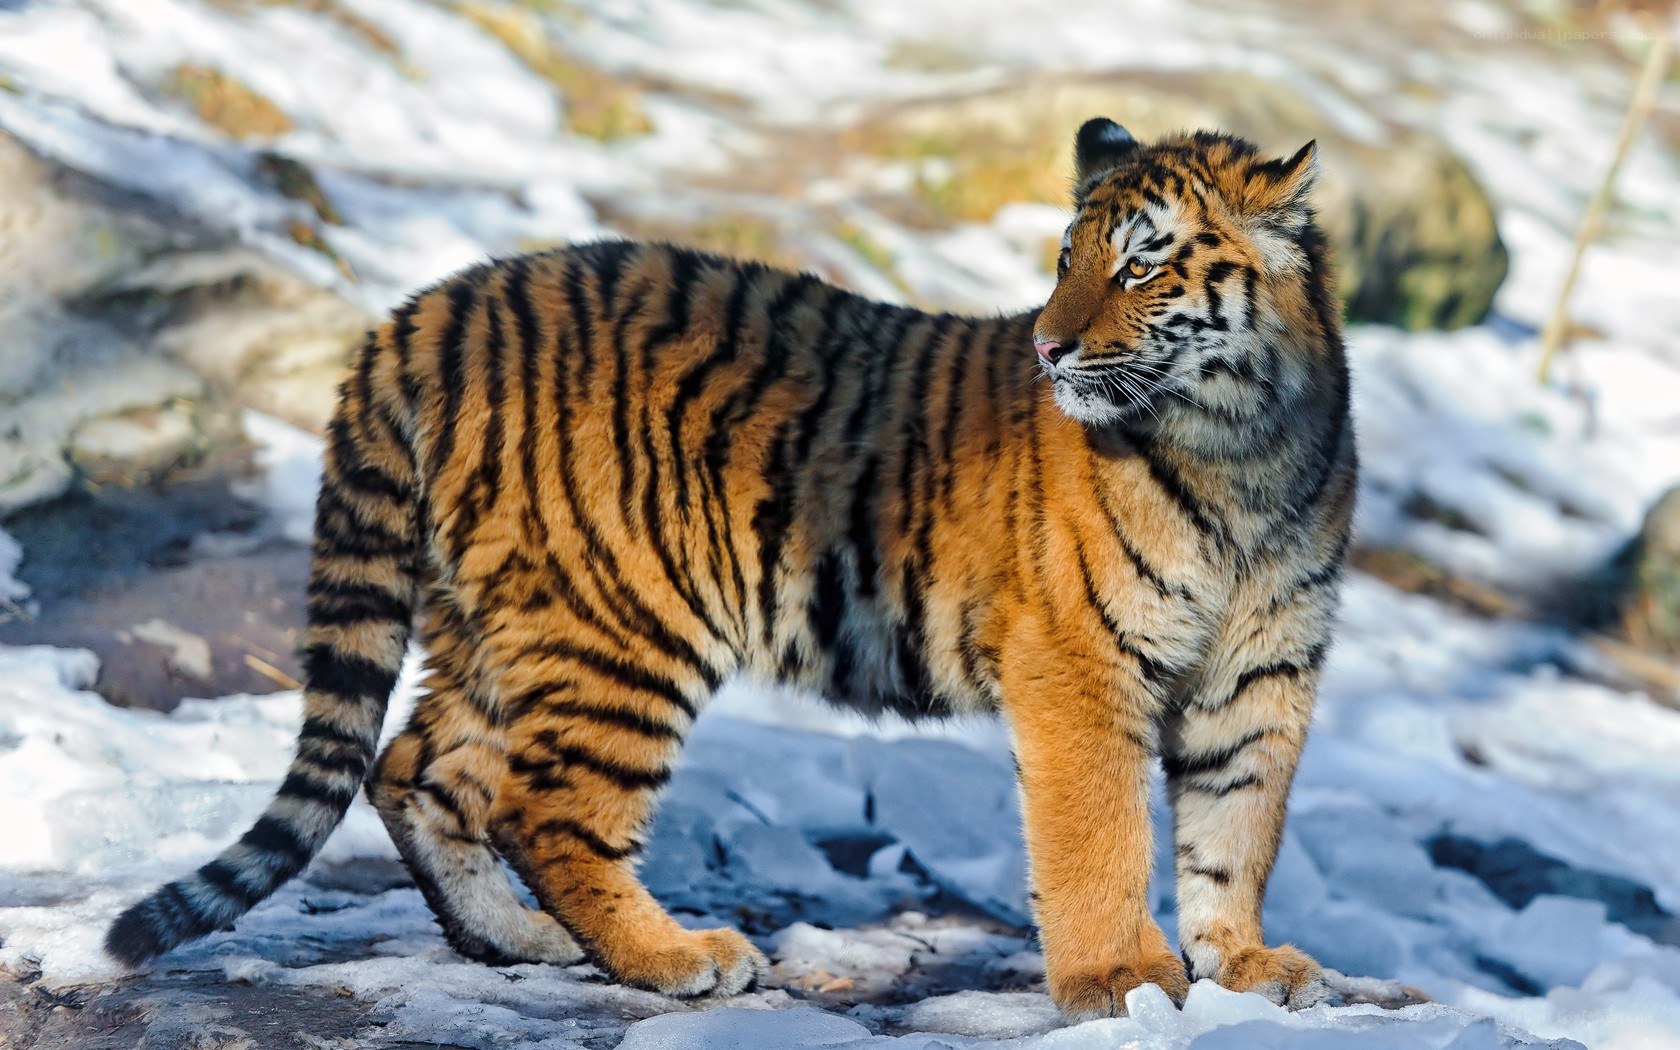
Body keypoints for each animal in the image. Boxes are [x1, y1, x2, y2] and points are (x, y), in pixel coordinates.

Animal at [106, 119, 1355, 1021]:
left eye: (1142, 264)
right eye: (1064, 261)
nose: (1047, 346)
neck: (1244, 450)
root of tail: (429, 308)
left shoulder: (1263, 672)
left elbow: (1236, 829)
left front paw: (1242, 969)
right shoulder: (1081, 662)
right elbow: (1102, 833)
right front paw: (1122, 981)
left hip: (495, 619)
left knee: (417, 768)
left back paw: (514, 941)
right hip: (626, 623)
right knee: (545, 806)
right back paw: (675, 958)